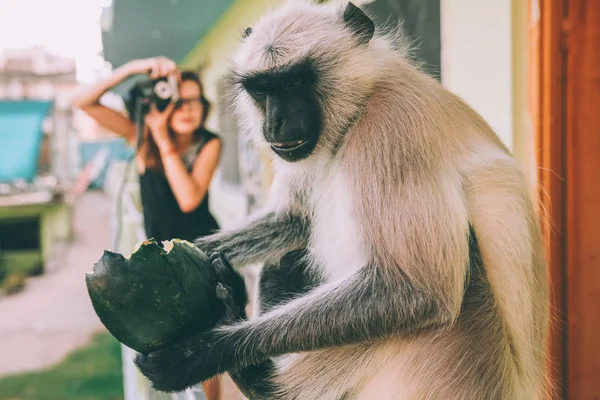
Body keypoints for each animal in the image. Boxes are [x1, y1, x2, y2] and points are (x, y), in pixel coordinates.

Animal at [134, 1, 552, 398]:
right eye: (262, 90)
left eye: (295, 81)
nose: (275, 122)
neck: (356, 111)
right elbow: (295, 219)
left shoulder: (390, 124)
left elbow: (420, 289)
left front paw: (205, 352)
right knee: (286, 257)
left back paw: (259, 378)